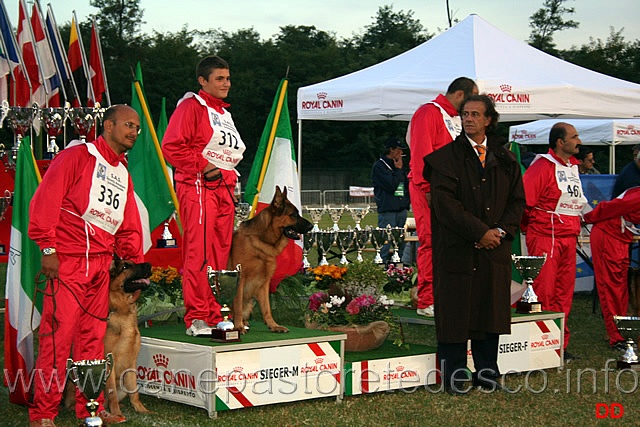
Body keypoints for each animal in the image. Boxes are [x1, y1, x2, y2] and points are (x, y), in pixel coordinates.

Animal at [229, 187, 314, 334]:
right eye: (294, 215)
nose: (312, 226)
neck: (261, 241)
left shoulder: (264, 283)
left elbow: (267, 308)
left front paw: (273, 325)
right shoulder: (240, 280)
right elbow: (238, 304)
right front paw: (238, 327)